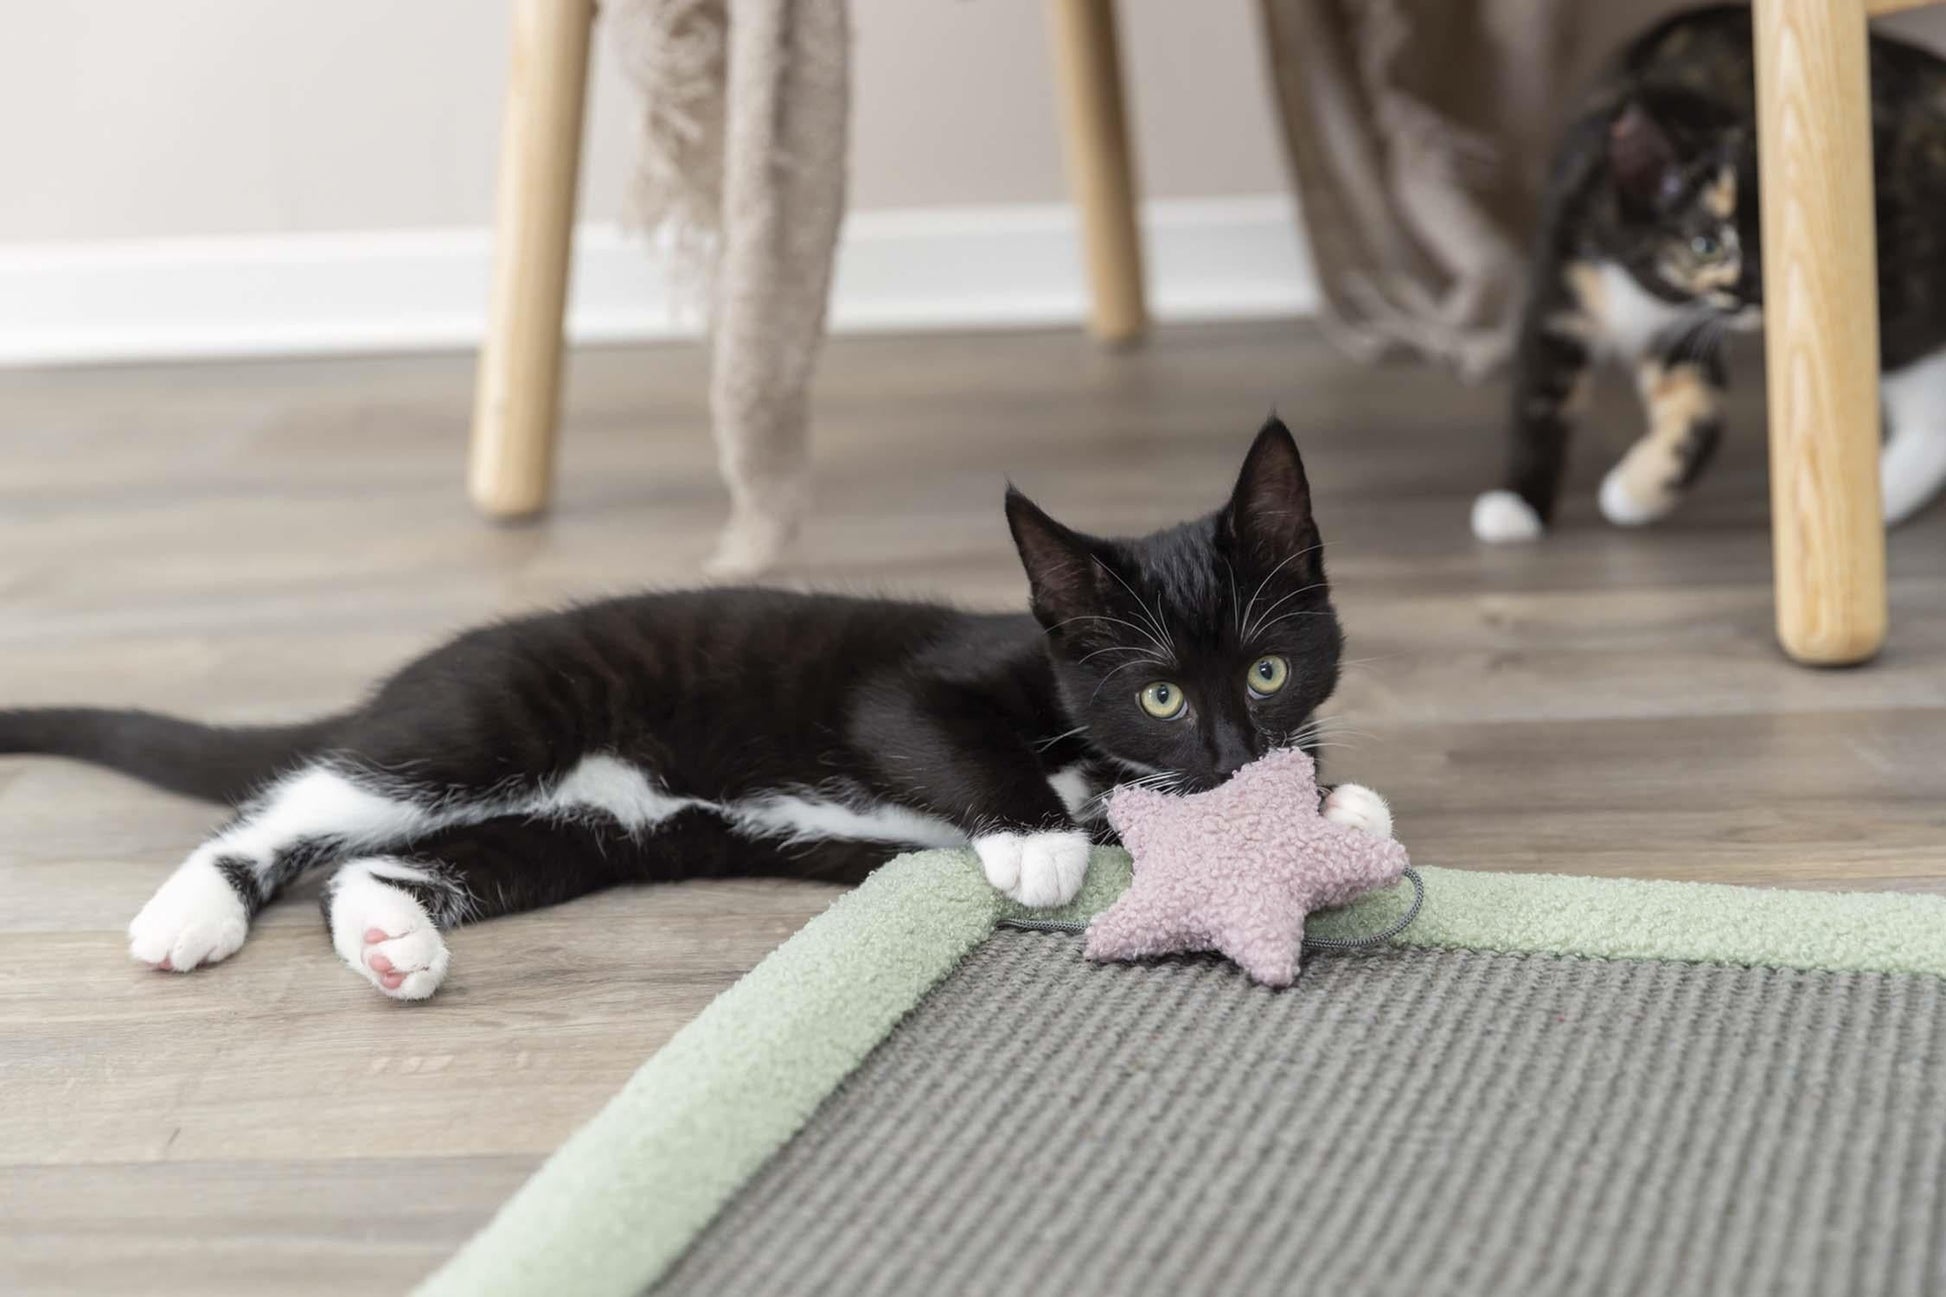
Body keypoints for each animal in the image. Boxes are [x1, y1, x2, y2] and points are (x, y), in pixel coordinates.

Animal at [0, 418, 1392, 1000]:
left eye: (1266, 673)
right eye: (1158, 691)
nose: (1231, 753)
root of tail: (419, 670)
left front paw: (1334, 806)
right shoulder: (917, 684)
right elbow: (937, 731)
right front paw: (1039, 842)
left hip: (573, 835)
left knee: (376, 863)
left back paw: (394, 942)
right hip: (485, 723)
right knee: (291, 805)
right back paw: (190, 913)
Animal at [1472, 5, 1946, 542]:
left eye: (1773, 241)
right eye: (1708, 246)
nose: (1757, 291)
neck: (1643, 284)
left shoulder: (1685, 328)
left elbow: (1702, 419)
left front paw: (1632, 494)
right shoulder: (1563, 276)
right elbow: (1538, 399)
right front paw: (1518, 504)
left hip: (1895, 280)